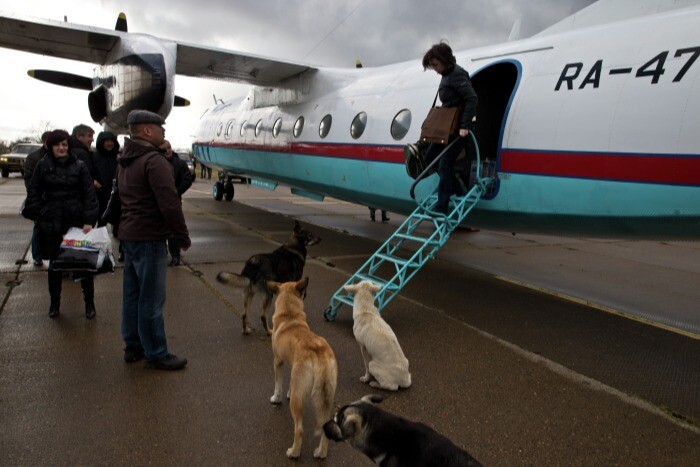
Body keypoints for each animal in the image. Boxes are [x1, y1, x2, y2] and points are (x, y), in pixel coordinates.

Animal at [266, 280, 338, 458]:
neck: (290, 314)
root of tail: (318, 351)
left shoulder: (277, 362)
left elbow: (278, 385)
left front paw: (276, 398)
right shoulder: (293, 368)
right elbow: (289, 386)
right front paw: (287, 393)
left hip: (298, 401)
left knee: (299, 429)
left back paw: (294, 453)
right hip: (327, 397)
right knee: (326, 427)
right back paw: (321, 453)